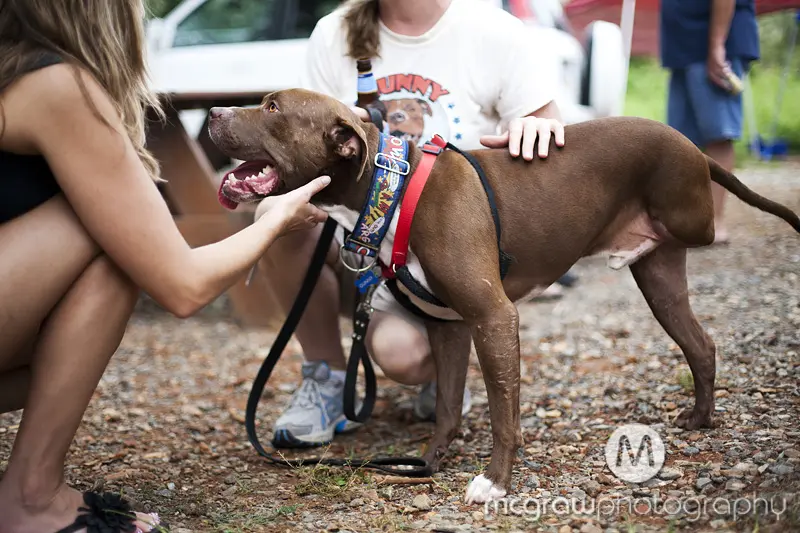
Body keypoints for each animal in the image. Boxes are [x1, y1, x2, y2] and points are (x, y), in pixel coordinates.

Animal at [209, 87, 800, 502]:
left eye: (272, 106)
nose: (212, 111)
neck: (390, 186)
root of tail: (689, 145)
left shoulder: (493, 318)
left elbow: (502, 413)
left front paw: (494, 482)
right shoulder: (448, 327)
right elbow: (447, 406)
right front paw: (429, 461)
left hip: (685, 221)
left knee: (705, 235)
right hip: (659, 280)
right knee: (701, 345)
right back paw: (700, 419)